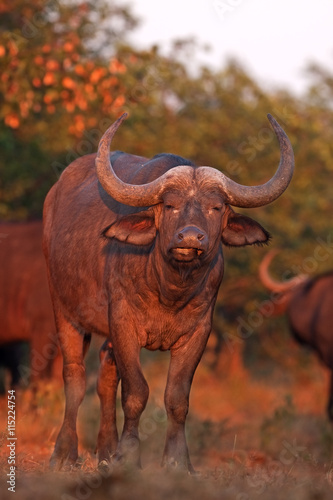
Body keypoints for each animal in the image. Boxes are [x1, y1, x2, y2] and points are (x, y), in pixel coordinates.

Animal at [42, 112, 294, 472]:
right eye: (171, 205)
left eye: (217, 207)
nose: (190, 238)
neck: (169, 289)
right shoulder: (124, 324)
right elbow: (136, 392)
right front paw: (129, 456)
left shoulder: (198, 333)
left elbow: (177, 398)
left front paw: (176, 461)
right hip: (64, 312)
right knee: (74, 377)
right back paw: (64, 453)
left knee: (105, 376)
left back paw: (105, 451)